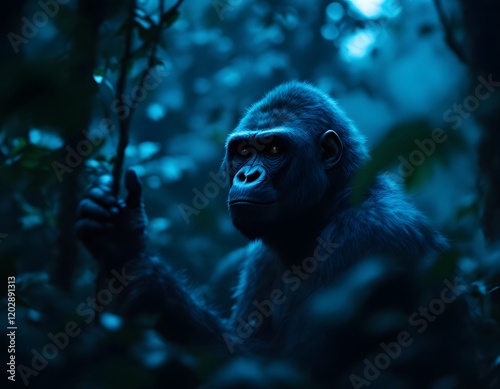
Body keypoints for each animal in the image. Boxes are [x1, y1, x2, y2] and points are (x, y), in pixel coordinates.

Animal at [77, 81, 450, 384]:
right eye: (243, 152)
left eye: (273, 150)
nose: (247, 176)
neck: (330, 205)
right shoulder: (260, 259)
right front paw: (117, 245)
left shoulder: (365, 239)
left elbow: (297, 371)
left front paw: (144, 274)